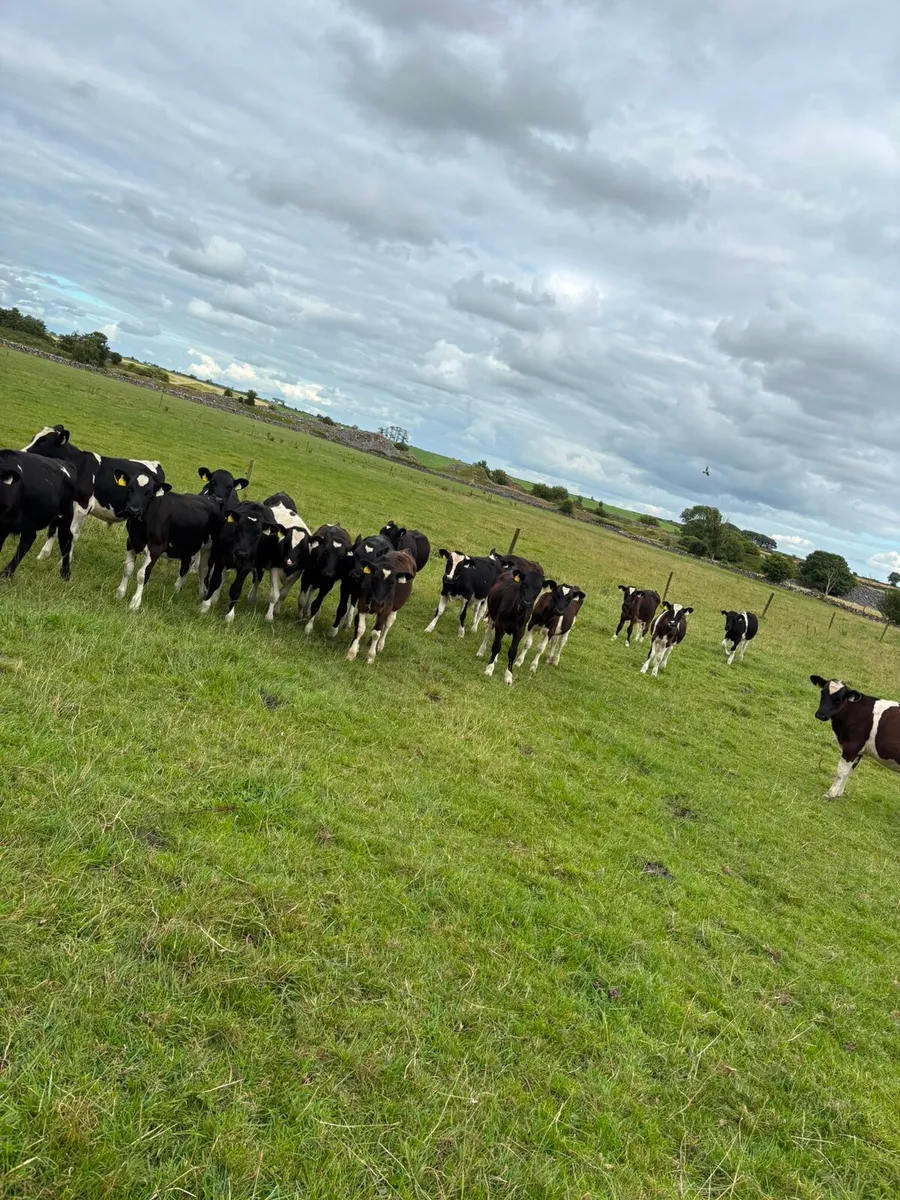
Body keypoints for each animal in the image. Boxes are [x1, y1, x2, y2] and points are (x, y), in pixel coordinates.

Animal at [0, 450, 78, 579]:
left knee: (66, 540)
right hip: (30, 519)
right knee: (28, 539)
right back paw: (7, 573)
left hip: (65, 515)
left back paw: (65, 574)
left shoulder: (4, 526)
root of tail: (64, 463)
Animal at [22, 424, 164, 557]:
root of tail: (156, 464)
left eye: (43, 442)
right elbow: (53, 528)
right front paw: (43, 555)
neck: (78, 467)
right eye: (33, 438)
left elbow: (72, 533)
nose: (22, 452)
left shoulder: (82, 506)